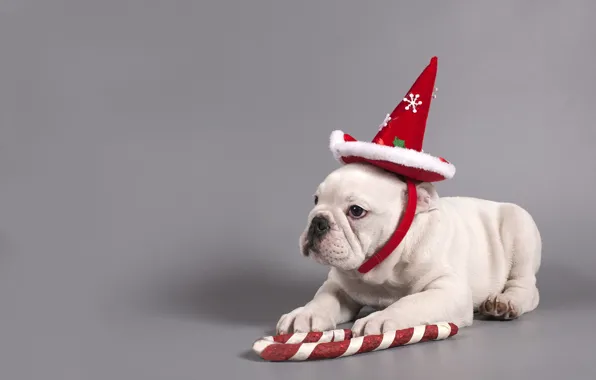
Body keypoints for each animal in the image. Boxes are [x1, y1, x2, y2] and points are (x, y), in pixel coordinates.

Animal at [278, 163, 544, 336]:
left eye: (356, 211)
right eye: (316, 200)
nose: (318, 221)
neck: (383, 264)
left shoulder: (447, 290)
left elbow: (411, 302)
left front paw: (381, 318)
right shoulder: (339, 284)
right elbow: (324, 298)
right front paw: (305, 314)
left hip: (520, 227)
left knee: (526, 288)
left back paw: (505, 303)